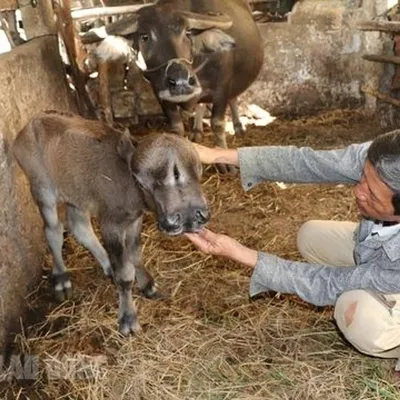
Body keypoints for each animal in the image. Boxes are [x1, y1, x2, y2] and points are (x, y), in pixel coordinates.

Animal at [13, 111, 209, 336]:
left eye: (198, 171)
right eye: (141, 182)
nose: (186, 218)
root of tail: (30, 125)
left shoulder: (134, 221)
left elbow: (134, 254)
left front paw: (148, 284)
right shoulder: (111, 225)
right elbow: (124, 273)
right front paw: (128, 318)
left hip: (77, 195)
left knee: (79, 226)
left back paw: (107, 264)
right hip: (42, 189)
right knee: (53, 230)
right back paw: (62, 279)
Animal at [81, 0, 264, 155]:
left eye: (187, 33)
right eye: (144, 36)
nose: (180, 80)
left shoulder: (222, 89)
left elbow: (218, 124)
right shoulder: (162, 95)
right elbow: (176, 127)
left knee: (234, 98)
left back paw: (238, 127)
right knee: (201, 104)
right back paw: (197, 131)